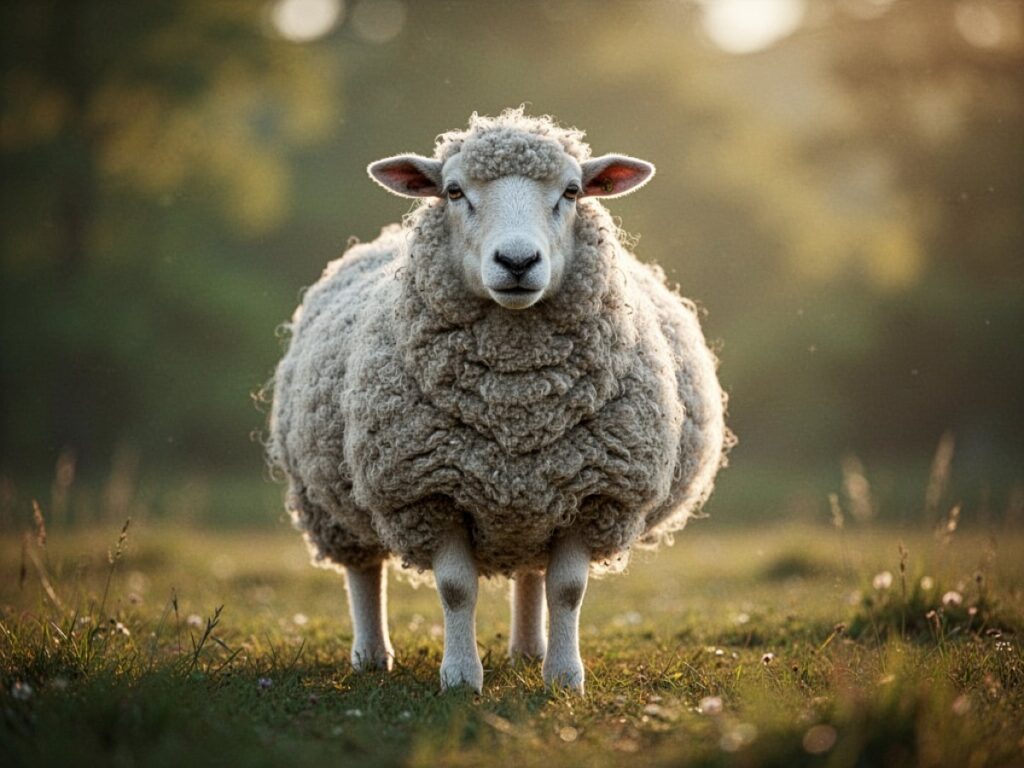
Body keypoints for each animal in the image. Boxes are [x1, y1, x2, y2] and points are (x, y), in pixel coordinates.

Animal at [267, 109, 730, 694]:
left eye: (572, 191)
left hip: (536, 500)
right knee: (363, 571)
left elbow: (567, 589)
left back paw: (529, 652)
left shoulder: (594, 492)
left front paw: (564, 678)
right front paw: (462, 677)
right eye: (453, 191)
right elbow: (456, 589)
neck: (517, 399)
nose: (516, 260)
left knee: (532, 570)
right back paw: (372, 655)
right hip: (329, 500)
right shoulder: (427, 491)